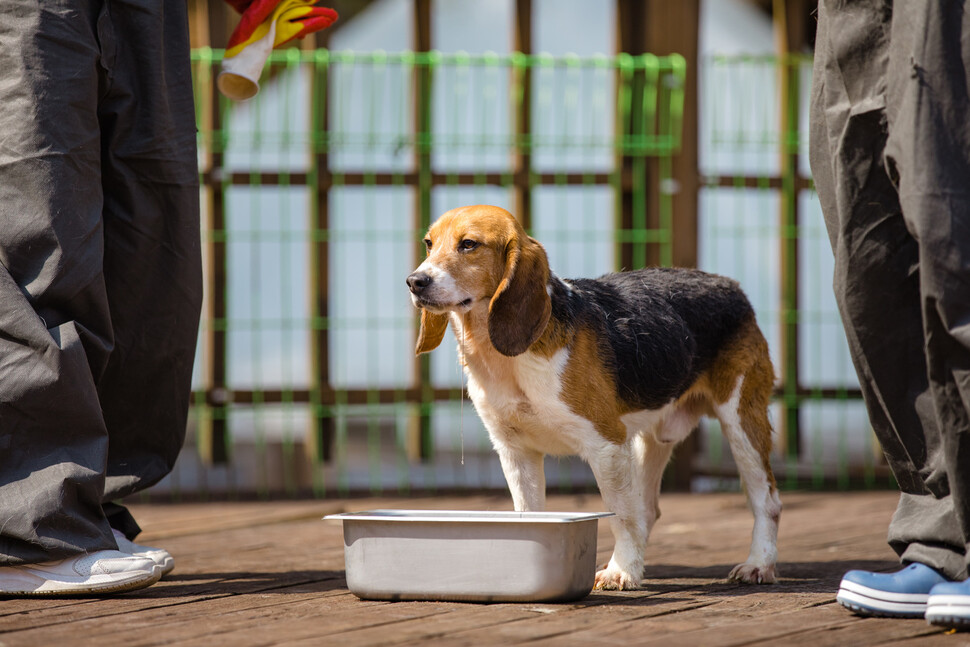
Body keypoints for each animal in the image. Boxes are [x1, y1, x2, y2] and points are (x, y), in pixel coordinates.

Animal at [406, 205, 780, 588]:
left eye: (469, 244)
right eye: (429, 243)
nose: (415, 281)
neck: (501, 358)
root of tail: (729, 285)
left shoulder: (606, 446)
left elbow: (621, 516)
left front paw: (621, 571)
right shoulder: (515, 451)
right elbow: (529, 512)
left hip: (741, 423)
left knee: (766, 500)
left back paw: (757, 564)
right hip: (650, 439)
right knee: (647, 509)